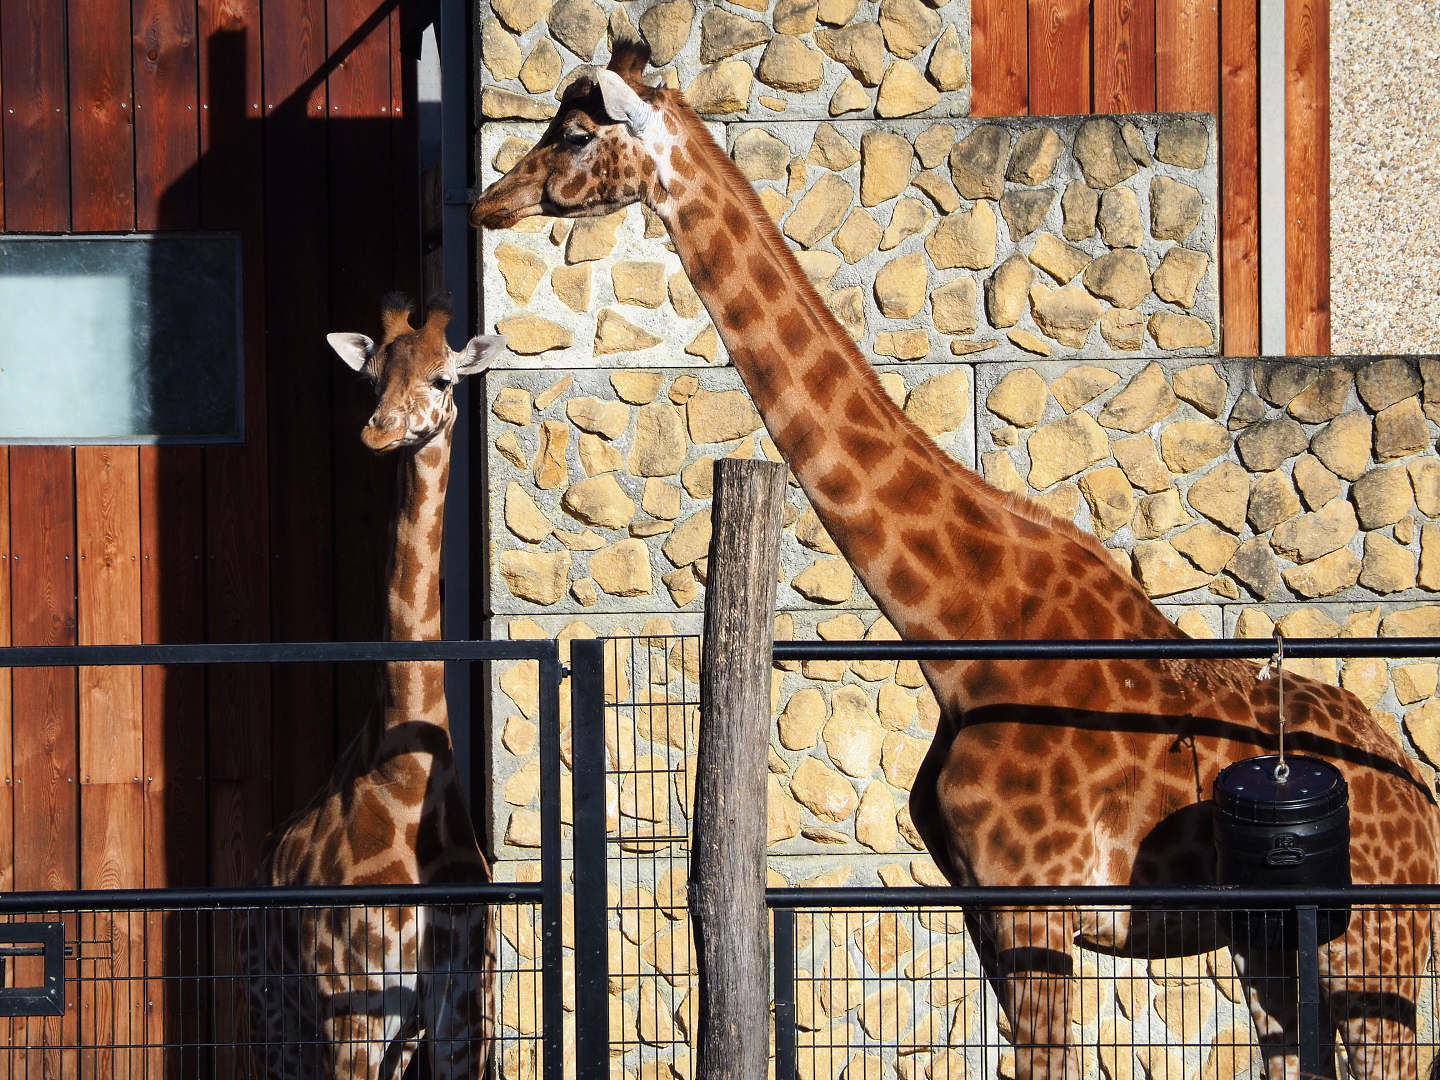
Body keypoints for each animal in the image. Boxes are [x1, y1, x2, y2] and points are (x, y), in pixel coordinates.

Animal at [242, 294, 505, 1080]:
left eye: (444, 378)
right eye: (372, 378)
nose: (378, 431)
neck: (410, 775)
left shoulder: (458, 1016)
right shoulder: (349, 1010)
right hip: (277, 1015)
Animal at [471, 43, 1440, 1080]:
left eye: (577, 133)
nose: (488, 202)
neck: (963, 634)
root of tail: (1423, 807)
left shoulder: (1036, 905)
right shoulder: (982, 907)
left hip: (1374, 941)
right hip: (1277, 951)